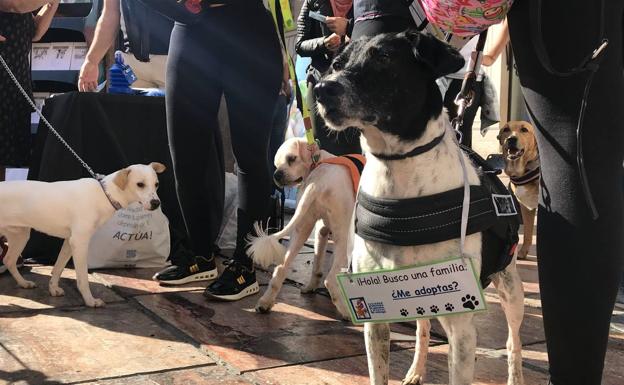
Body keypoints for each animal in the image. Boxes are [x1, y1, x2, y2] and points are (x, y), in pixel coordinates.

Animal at [0, 162, 166, 306]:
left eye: (157, 184)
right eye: (140, 184)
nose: (156, 203)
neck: (105, 194)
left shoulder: (69, 241)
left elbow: (58, 268)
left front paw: (53, 289)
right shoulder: (80, 243)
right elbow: (83, 278)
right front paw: (90, 301)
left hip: (21, 236)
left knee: (9, 260)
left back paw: (23, 283)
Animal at [246, 138, 358, 318]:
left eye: (291, 158)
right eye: (276, 164)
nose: (276, 175)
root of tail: (316, 182)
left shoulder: (321, 231)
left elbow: (317, 265)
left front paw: (311, 287)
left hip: (302, 228)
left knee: (281, 268)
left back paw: (264, 303)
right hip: (345, 236)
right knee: (331, 279)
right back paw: (346, 311)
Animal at [316, 32, 528, 384]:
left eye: (384, 58)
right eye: (336, 64)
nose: (321, 89)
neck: (398, 173)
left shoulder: (462, 325)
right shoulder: (376, 313)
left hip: (511, 289)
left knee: (514, 342)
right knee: (423, 328)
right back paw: (416, 370)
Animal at [500, 120, 540, 258]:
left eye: (524, 130)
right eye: (506, 129)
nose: (511, 139)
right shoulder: (526, 207)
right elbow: (527, 233)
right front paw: (523, 252)